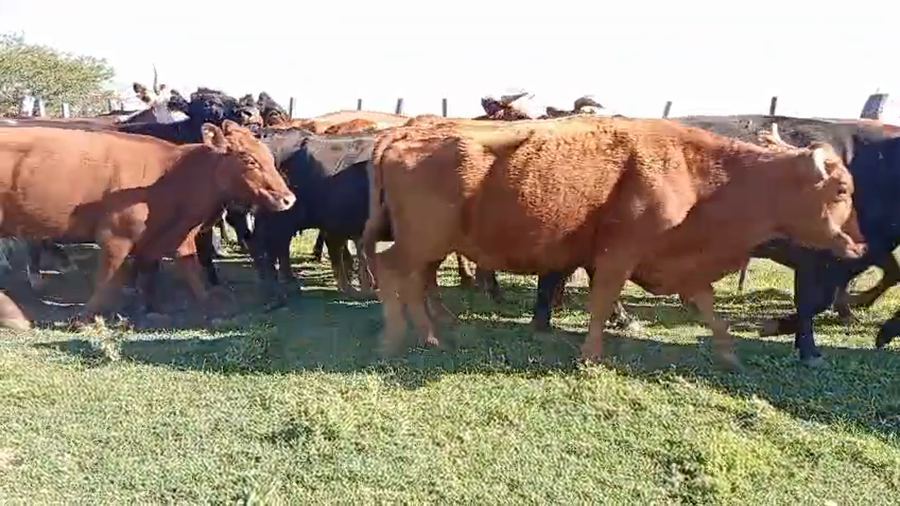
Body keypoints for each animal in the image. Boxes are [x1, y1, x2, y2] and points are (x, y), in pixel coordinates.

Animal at [0, 120, 295, 325]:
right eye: (248, 159)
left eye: (269, 157)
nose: (289, 199)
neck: (170, 176)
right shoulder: (116, 237)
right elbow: (107, 280)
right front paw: (84, 319)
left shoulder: (166, 238)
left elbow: (174, 272)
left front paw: (160, 308)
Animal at [361, 115, 865, 368]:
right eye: (842, 190)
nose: (860, 244)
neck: (695, 171)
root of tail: (404, 135)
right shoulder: (617, 255)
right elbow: (603, 301)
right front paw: (591, 354)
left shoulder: (680, 264)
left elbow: (707, 307)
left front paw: (729, 353)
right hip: (422, 241)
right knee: (392, 271)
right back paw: (396, 338)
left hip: (428, 246)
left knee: (413, 281)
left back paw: (430, 335)